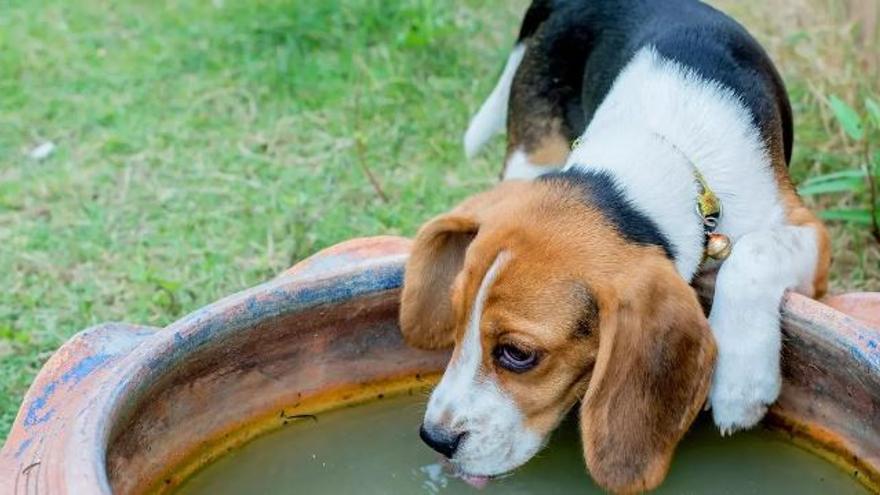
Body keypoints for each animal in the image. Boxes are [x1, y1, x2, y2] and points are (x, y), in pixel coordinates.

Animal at [402, 0, 828, 492]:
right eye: (455, 320)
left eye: (519, 354)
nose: (434, 439)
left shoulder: (809, 233)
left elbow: (751, 255)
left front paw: (741, 383)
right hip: (529, 154)